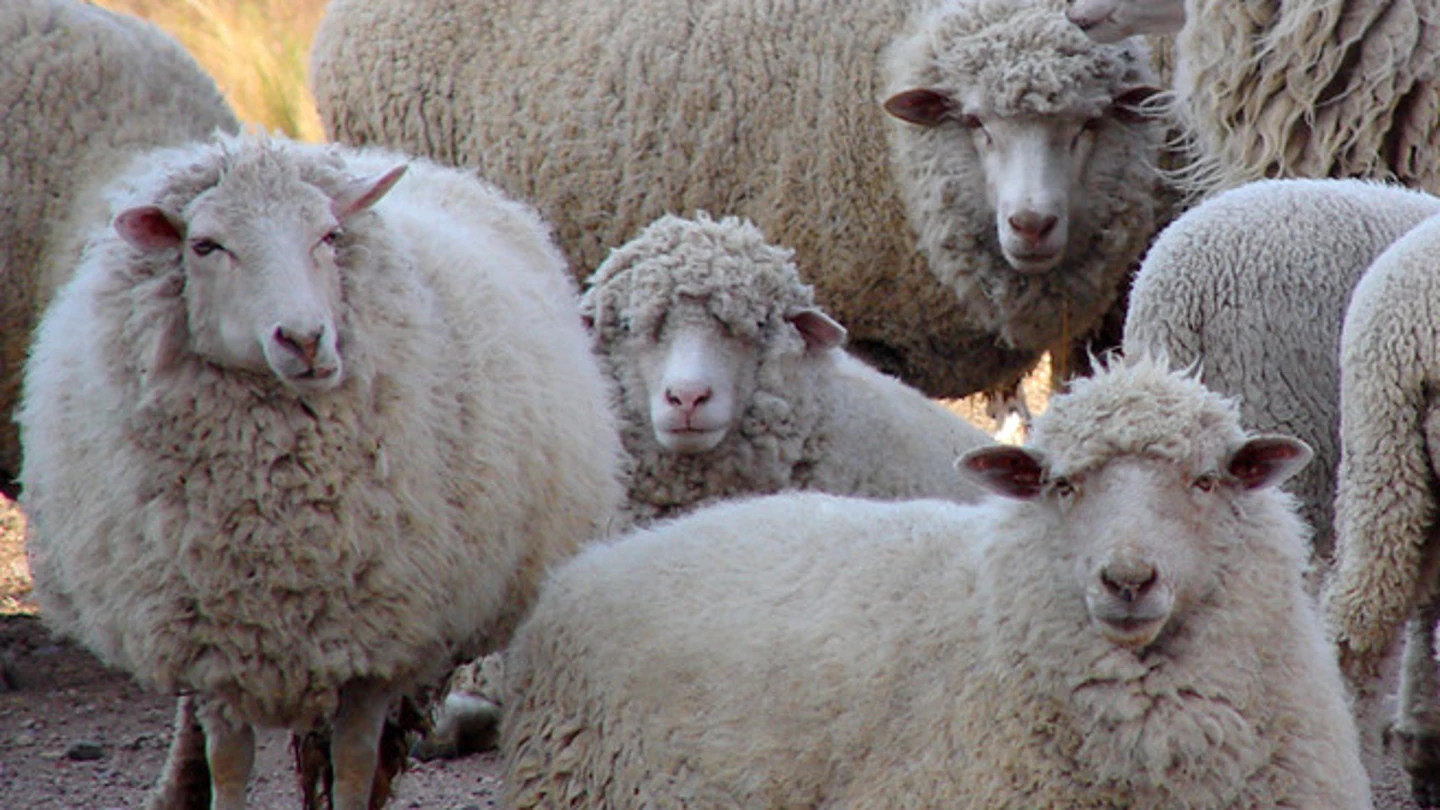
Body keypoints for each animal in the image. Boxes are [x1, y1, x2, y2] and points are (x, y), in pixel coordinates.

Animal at [16, 132, 625, 810]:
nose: (306, 340)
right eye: (205, 246)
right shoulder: (215, 647)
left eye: (329, 235)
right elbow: (229, 763)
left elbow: (355, 762)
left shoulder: (375, 641)